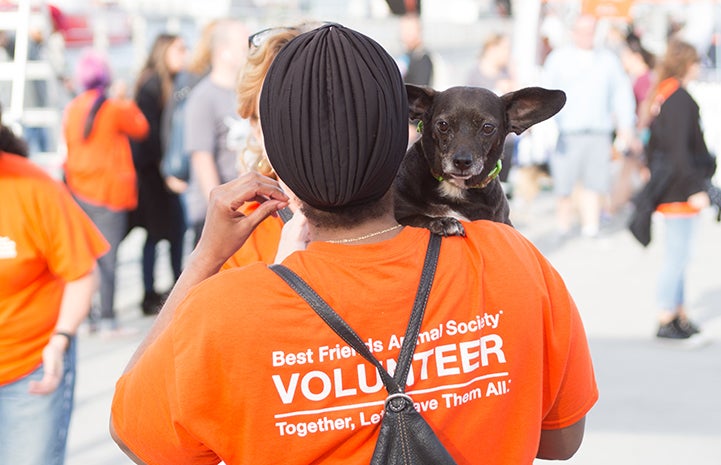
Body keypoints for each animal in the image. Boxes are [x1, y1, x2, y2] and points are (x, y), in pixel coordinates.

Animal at [394, 84, 568, 236]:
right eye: (442, 125)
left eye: (488, 128)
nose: (462, 162)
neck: (455, 188)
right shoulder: (401, 215)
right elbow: (417, 217)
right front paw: (442, 221)